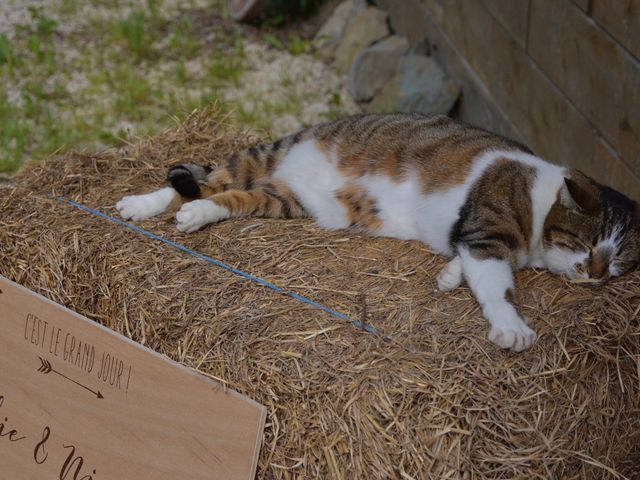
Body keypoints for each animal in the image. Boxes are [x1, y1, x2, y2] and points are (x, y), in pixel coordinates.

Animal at [116, 113, 640, 352]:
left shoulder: (479, 242)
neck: (540, 200)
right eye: (585, 243)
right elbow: (496, 285)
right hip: (258, 156)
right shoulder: (487, 233)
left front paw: (450, 276)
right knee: (194, 181)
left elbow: (471, 264)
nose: (596, 273)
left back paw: (193, 213)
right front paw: (510, 326)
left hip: (283, 200)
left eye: (618, 260)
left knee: (218, 196)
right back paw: (142, 204)